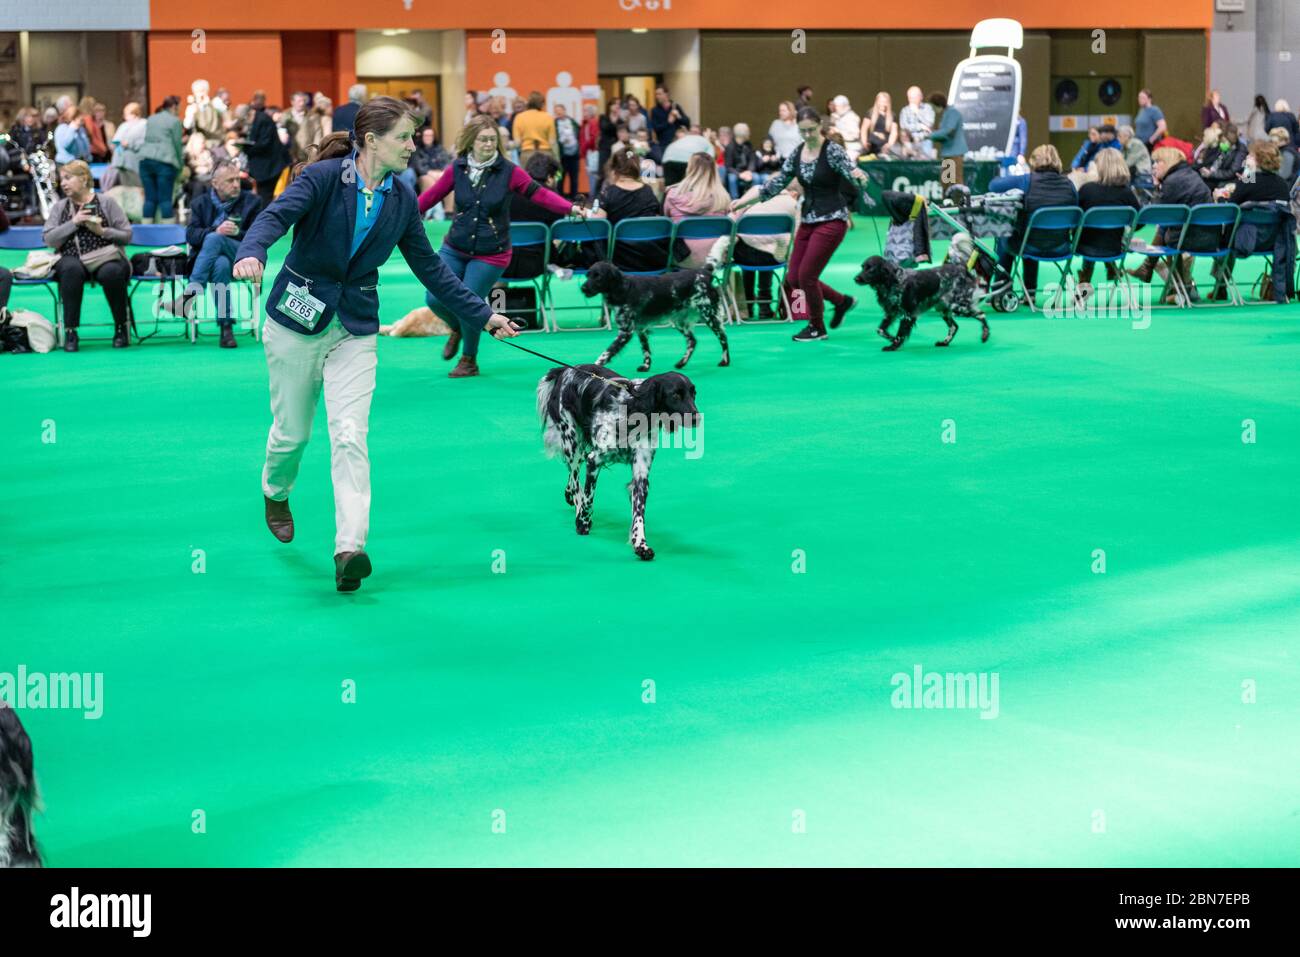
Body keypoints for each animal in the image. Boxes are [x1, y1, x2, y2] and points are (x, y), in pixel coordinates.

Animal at [538, 364, 702, 561]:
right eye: (675, 395)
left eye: (693, 393)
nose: (697, 418)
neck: (633, 412)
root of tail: (565, 370)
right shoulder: (595, 460)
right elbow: (588, 497)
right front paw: (583, 522)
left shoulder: (641, 471)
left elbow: (639, 513)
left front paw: (640, 545)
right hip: (571, 441)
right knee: (575, 477)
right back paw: (576, 503)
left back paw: (568, 494)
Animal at [582, 261, 733, 374]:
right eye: (588, 275)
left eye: (598, 276)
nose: (583, 288)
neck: (623, 288)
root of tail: (705, 273)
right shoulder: (640, 329)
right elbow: (646, 351)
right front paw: (646, 366)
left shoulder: (626, 332)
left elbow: (606, 353)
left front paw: (593, 368)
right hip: (680, 321)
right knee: (692, 341)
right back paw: (681, 363)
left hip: (709, 315)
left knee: (723, 337)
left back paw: (725, 361)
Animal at [857, 256, 987, 353]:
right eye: (862, 267)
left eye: (871, 269)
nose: (856, 279)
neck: (892, 282)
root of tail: (963, 269)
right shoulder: (890, 312)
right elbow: (880, 330)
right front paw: (891, 338)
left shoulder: (907, 315)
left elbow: (900, 334)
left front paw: (893, 345)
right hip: (943, 309)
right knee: (954, 327)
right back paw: (944, 342)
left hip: (957, 306)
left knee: (981, 314)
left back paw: (985, 335)